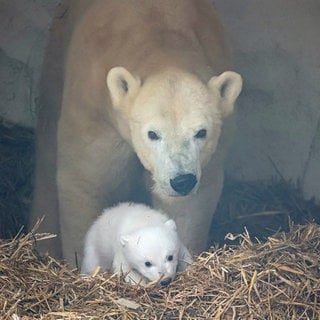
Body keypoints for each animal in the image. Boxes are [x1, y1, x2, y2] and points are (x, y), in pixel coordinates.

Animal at [31, 0, 242, 264]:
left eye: (201, 132)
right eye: (153, 133)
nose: (182, 180)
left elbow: (188, 206)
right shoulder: (95, 111)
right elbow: (86, 179)